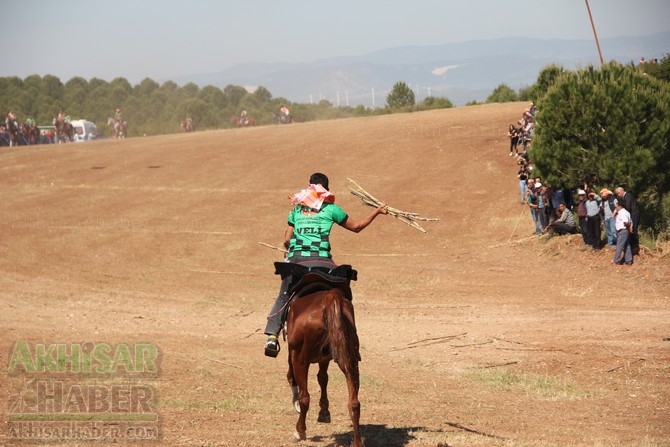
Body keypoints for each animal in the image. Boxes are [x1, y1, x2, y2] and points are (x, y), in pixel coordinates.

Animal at [276, 264, 364, 446]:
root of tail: (330, 298)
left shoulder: (295, 354)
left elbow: (296, 380)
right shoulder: (325, 359)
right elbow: (323, 378)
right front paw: (324, 412)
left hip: (300, 359)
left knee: (305, 397)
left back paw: (299, 431)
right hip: (351, 359)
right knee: (354, 403)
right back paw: (357, 441)